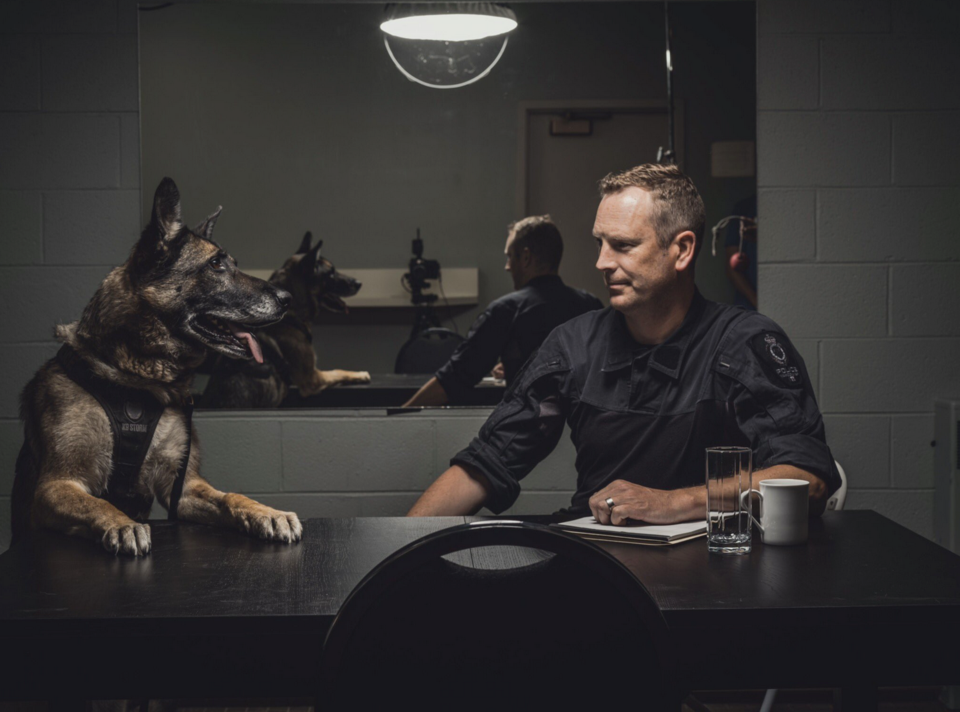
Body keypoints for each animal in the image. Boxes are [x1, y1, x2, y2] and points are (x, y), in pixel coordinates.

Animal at [11, 178, 302, 556]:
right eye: (216, 265)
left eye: (233, 263)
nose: (287, 299)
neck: (136, 377)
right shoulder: (57, 484)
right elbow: (98, 503)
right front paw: (122, 524)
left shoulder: (184, 487)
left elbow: (231, 496)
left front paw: (268, 512)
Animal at [200, 232, 372, 408]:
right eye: (331, 273)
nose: (359, 283)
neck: (290, 316)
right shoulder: (312, 379)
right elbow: (337, 371)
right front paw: (360, 374)